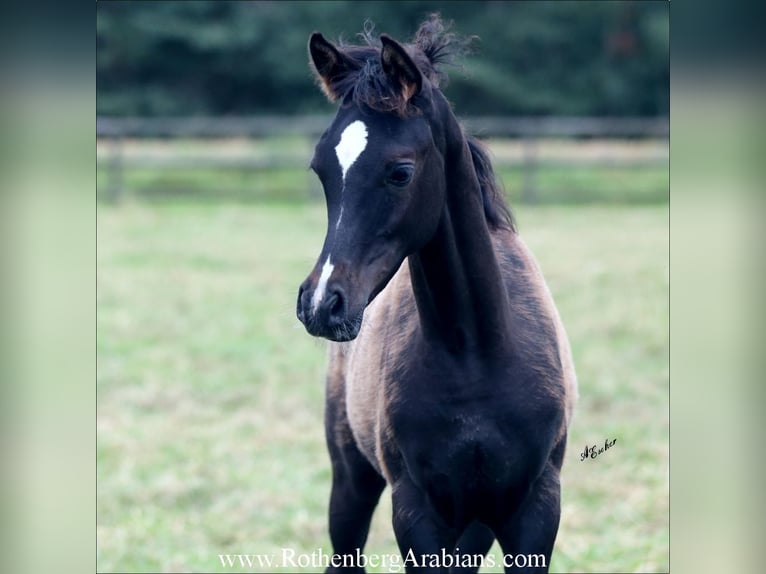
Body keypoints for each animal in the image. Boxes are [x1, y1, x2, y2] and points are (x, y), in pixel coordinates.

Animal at [296, 15, 580, 572]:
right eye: (321, 169)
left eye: (400, 171)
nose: (321, 304)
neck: (475, 353)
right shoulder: (417, 511)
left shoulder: (536, 508)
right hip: (353, 480)